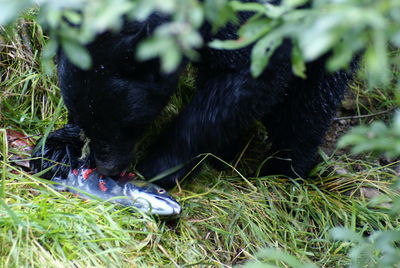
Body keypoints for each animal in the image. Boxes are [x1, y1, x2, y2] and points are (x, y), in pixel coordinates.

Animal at [31, 8, 352, 188]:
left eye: (126, 124)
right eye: (85, 118)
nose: (107, 168)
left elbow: (246, 80)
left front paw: (160, 167)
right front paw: (58, 148)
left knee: (312, 97)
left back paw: (285, 170)